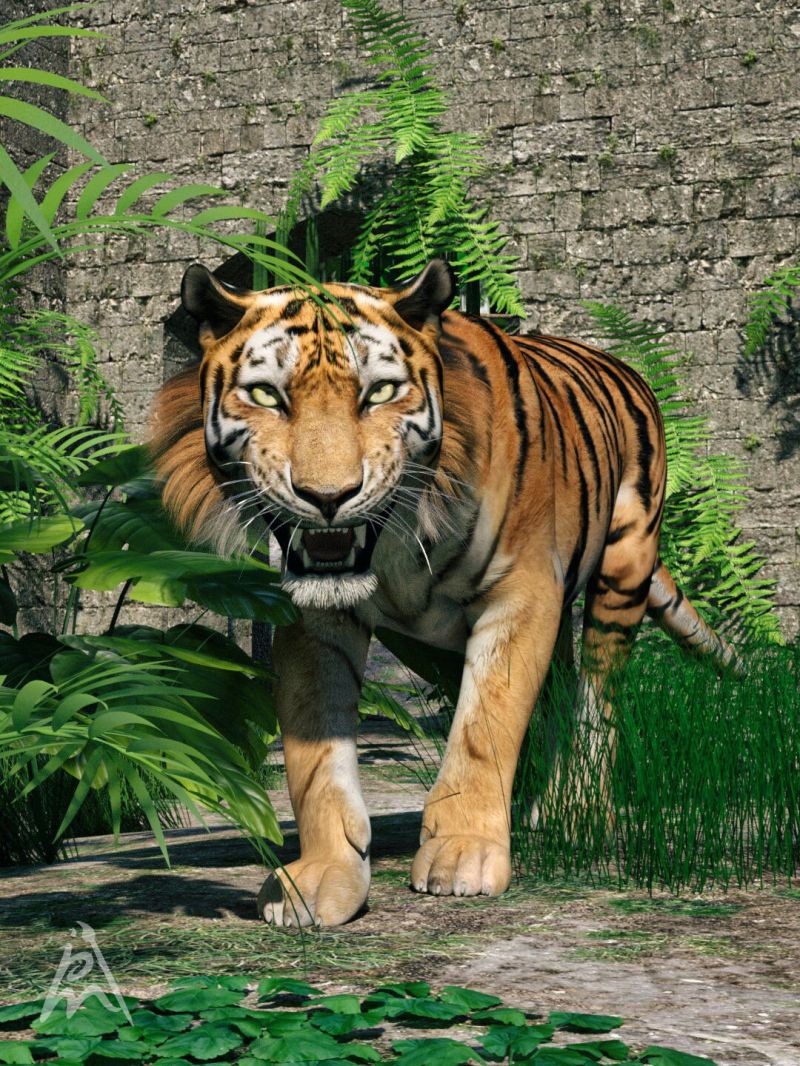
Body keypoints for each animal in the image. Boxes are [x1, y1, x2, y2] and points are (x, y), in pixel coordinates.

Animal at [150, 258, 737, 928]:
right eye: (267, 396)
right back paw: (539, 809)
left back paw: (579, 812)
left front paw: (464, 851)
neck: (393, 545)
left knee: (598, 694)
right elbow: (314, 757)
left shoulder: (522, 596)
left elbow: (485, 728)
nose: (328, 497)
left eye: (379, 393)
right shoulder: (315, 622)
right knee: (561, 690)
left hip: (623, 568)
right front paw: (320, 875)